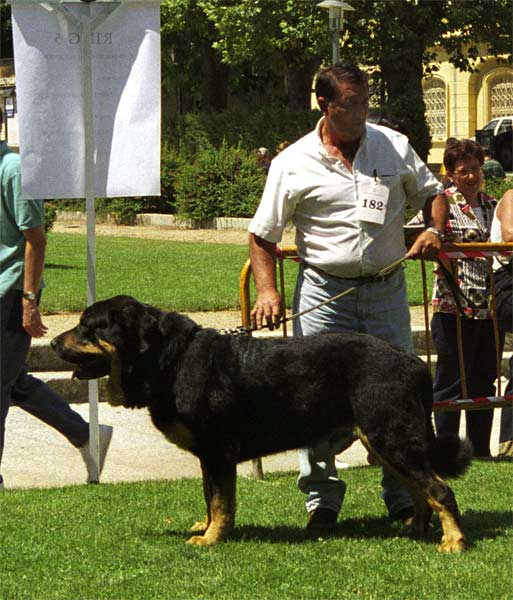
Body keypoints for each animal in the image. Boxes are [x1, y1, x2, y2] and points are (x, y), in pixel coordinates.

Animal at [52, 296, 472, 552]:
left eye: (88, 326)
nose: (54, 343)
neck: (168, 361)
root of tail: (415, 363)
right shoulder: (209, 457)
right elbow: (210, 498)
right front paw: (206, 528)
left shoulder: (217, 452)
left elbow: (220, 501)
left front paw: (211, 539)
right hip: (383, 441)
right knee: (420, 489)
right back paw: (415, 528)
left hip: (391, 436)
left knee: (439, 488)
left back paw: (453, 541)